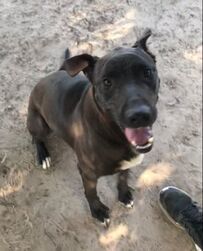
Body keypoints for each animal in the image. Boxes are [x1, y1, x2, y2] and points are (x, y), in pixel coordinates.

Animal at [27, 29, 160, 227]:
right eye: (106, 82)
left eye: (147, 72)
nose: (139, 115)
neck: (111, 132)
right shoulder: (87, 173)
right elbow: (91, 193)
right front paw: (98, 211)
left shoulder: (125, 165)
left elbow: (123, 178)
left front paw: (124, 195)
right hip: (41, 124)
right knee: (36, 137)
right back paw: (43, 155)